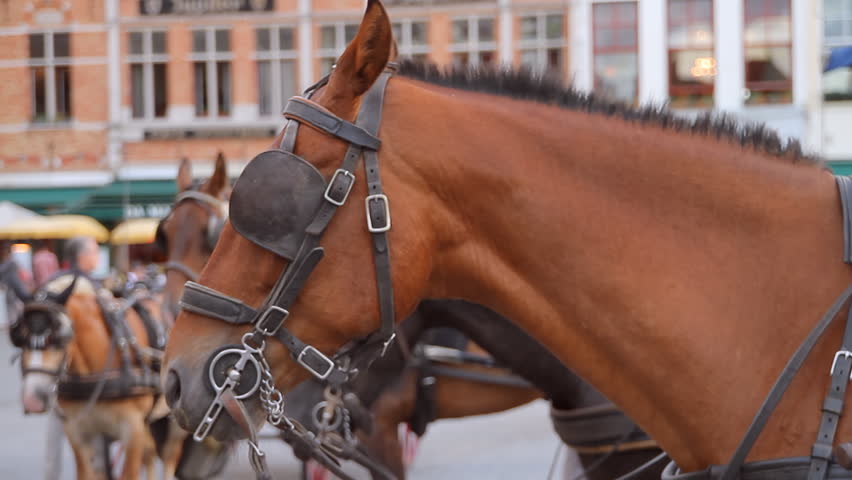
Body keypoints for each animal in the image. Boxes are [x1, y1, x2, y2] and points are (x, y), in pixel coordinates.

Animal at [13, 274, 184, 480]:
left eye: (59, 339)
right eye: (19, 339)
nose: (33, 400)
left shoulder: (133, 429)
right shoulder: (78, 432)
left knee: (169, 457)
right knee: (149, 455)